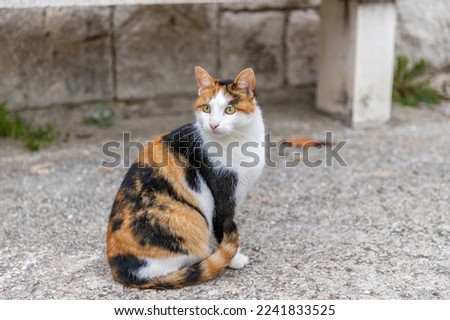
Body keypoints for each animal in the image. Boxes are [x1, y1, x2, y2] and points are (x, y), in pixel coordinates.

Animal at [106, 66, 266, 288]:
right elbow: (222, 226)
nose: (213, 124)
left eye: (229, 110)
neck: (238, 141)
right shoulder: (222, 195)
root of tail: (122, 270)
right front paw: (234, 258)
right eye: (206, 108)